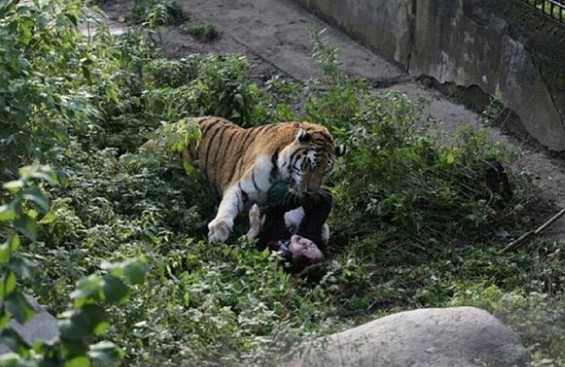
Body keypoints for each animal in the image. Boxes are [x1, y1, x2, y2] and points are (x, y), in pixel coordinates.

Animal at [181, 116, 344, 246]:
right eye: (308, 166)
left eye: (325, 172)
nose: (310, 192)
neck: (282, 176)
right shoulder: (240, 186)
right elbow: (229, 206)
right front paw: (218, 231)